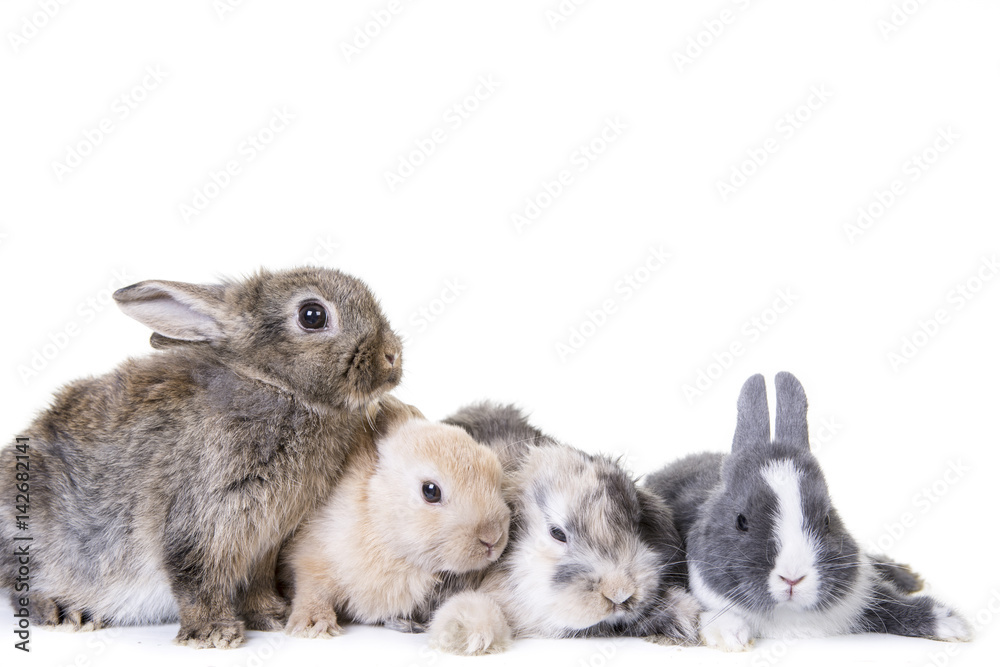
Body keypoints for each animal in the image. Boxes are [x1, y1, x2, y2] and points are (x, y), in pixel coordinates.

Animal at [1, 267, 405, 649]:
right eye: (312, 315)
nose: (392, 356)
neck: (275, 384)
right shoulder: (202, 514)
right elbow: (196, 576)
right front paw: (214, 634)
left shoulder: (265, 541)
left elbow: (255, 581)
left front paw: (272, 615)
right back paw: (63, 611)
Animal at [645, 372, 972, 651]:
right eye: (741, 521)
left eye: (827, 520)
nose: (792, 578)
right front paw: (732, 635)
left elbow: (894, 604)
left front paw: (954, 626)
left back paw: (909, 576)